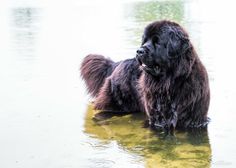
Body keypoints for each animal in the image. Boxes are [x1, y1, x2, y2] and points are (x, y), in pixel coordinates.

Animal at [80, 20, 210, 133]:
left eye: (157, 41)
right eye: (144, 41)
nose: (139, 51)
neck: (167, 83)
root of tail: (118, 63)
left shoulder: (195, 119)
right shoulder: (157, 117)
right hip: (115, 100)